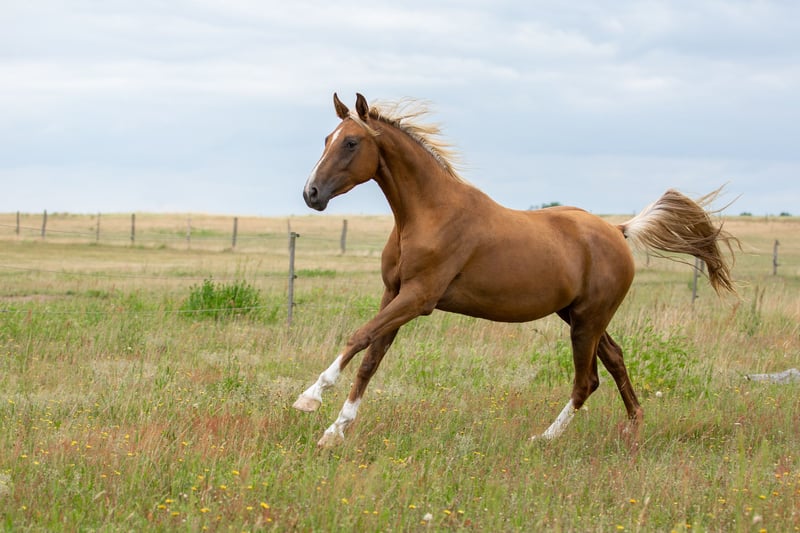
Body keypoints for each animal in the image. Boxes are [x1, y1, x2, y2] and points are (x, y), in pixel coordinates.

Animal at [294, 93, 737, 448]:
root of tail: (617, 230)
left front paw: (310, 398)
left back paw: (544, 439)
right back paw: (632, 429)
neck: (428, 215)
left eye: (352, 142)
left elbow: (359, 337)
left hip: (587, 320)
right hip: (578, 315)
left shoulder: (418, 298)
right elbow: (371, 357)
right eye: (327, 139)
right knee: (614, 360)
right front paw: (335, 431)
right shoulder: (395, 294)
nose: (311, 194)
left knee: (586, 380)